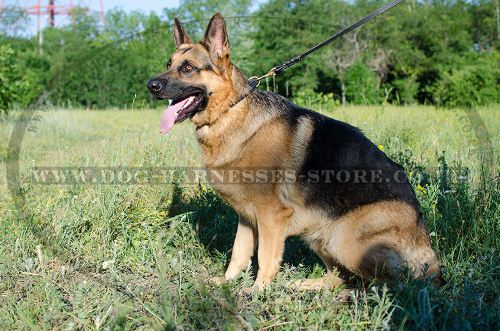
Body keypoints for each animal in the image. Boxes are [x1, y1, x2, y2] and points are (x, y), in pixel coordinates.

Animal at [147, 14, 442, 292]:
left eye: (188, 68)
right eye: (168, 64)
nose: (151, 85)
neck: (230, 111)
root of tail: (420, 228)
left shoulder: (271, 216)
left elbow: (265, 258)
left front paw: (258, 292)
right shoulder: (247, 217)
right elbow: (238, 253)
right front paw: (228, 283)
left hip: (344, 239)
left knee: (392, 282)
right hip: (320, 235)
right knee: (342, 276)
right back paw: (306, 286)